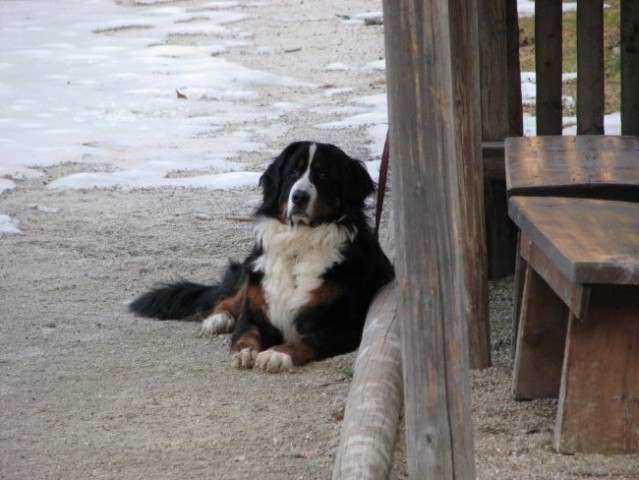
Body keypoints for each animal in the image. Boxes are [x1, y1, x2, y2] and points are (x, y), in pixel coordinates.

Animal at [130, 141, 396, 374]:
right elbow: (247, 332)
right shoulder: (255, 311)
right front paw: (245, 352)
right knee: (229, 299)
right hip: (252, 271)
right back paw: (218, 319)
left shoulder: (342, 326)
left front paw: (277, 354)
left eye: (324, 175)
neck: (298, 243)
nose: (299, 196)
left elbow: (306, 341)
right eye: (292, 172)